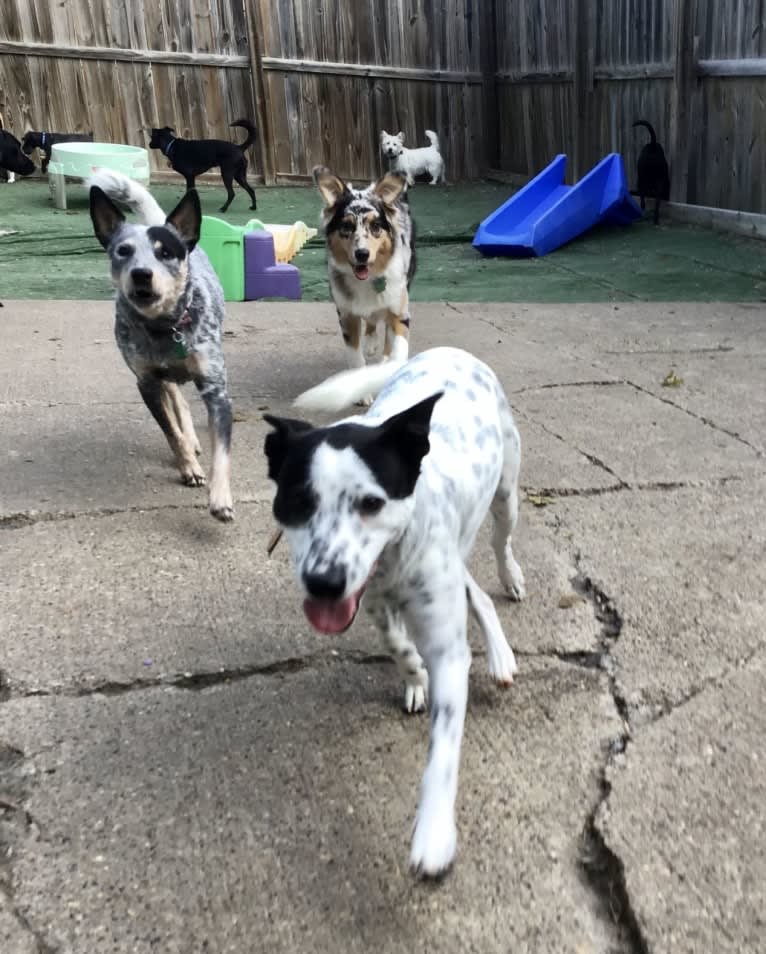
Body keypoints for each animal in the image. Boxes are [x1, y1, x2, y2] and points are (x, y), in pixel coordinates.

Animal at [88, 169, 234, 520]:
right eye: (123, 251)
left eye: (165, 252)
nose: (142, 274)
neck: (165, 327)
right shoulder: (147, 383)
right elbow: (171, 433)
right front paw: (189, 467)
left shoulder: (216, 389)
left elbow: (221, 451)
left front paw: (220, 498)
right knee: (177, 399)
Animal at [266, 346, 528, 872]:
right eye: (297, 501)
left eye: (371, 503)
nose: (323, 583)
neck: (393, 561)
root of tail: (450, 350)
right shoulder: (371, 600)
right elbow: (397, 643)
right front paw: (414, 679)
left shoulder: (447, 649)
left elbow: (443, 750)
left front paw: (434, 833)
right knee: (473, 588)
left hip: (505, 497)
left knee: (500, 542)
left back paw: (507, 594)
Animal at [312, 167, 416, 398]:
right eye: (346, 226)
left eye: (376, 226)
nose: (362, 254)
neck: (368, 280)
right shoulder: (346, 315)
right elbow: (355, 357)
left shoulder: (399, 310)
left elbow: (396, 349)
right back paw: (369, 342)